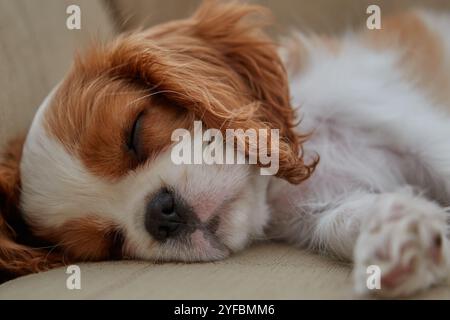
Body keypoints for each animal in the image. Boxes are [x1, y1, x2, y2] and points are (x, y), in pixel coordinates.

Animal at [0, 0, 450, 296]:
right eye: (111, 245)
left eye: (135, 131)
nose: (160, 214)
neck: (274, 185)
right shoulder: (311, 212)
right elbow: (342, 218)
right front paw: (396, 234)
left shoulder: (409, 127)